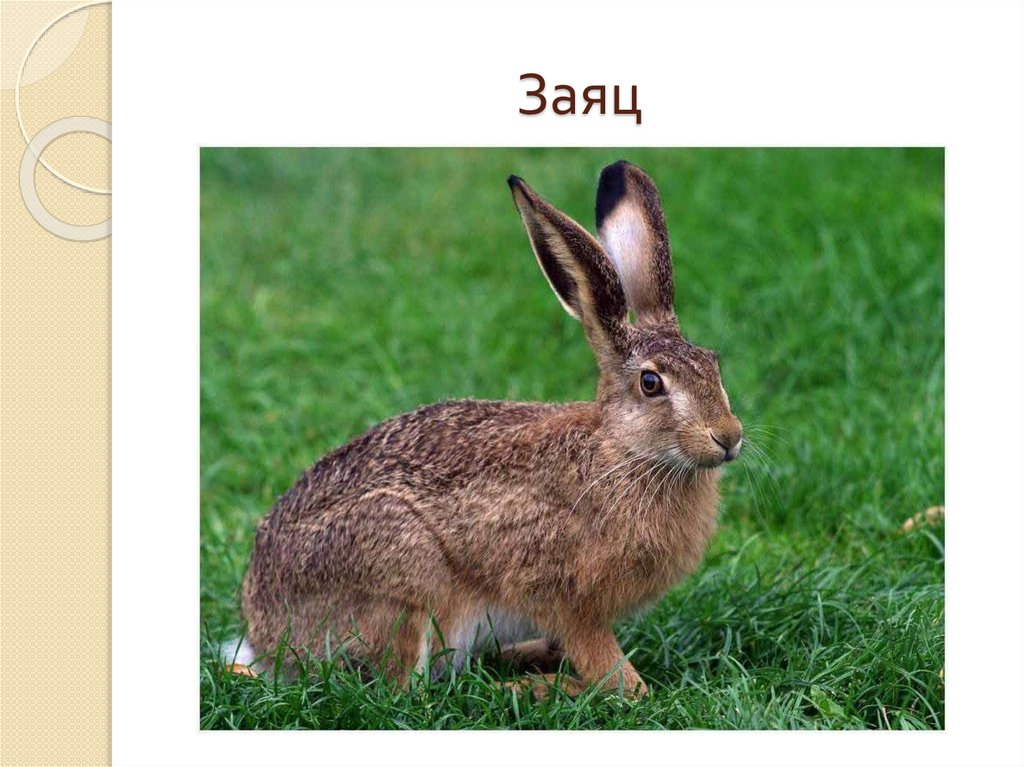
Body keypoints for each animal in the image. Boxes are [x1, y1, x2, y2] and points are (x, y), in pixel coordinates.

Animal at [234, 161, 743, 699]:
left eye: (712, 363)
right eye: (650, 383)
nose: (728, 437)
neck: (621, 452)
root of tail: (264, 633)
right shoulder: (562, 594)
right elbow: (614, 674)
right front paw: (613, 684)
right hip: (404, 578)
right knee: (407, 691)